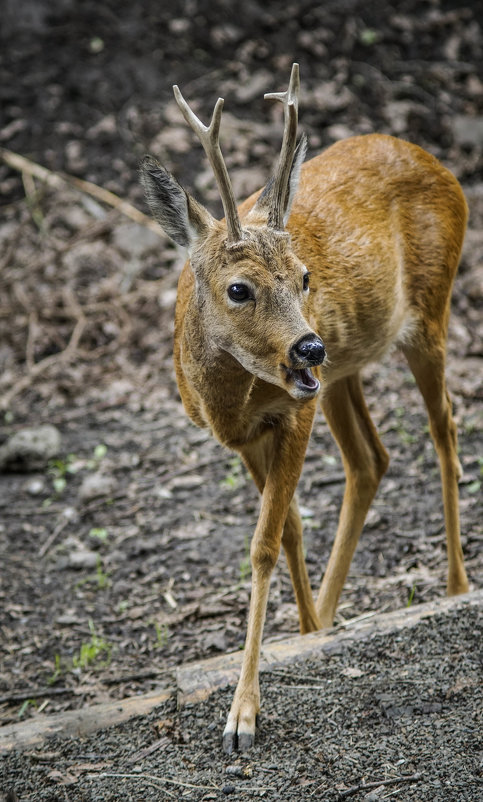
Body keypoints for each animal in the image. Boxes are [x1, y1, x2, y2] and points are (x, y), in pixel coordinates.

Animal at [139, 62, 468, 752]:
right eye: (239, 288)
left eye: (306, 277)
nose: (309, 345)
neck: (228, 399)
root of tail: (437, 162)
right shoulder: (244, 436)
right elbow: (287, 528)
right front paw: (308, 629)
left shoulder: (294, 412)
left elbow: (263, 545)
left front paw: (242, 715)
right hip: (343, 373)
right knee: (371, 459)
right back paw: (333, 614)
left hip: (428, 312)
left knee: (445, 428)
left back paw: (456, 587)